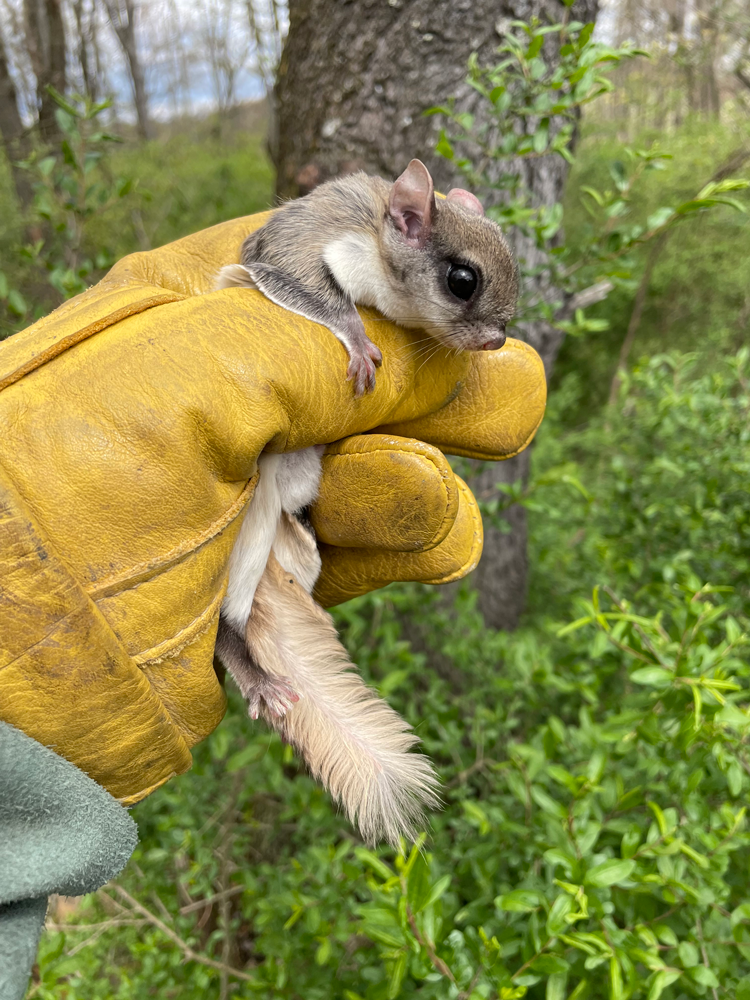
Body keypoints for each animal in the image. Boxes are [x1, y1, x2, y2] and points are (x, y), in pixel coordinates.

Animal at [214, 160, 520, 848]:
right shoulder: (299, 248)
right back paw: (256, 676)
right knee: (225, 628)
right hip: (243, 534)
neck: (380, 236)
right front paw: (357, 340)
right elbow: (312, 291)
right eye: (463, 280)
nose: (496, 341)